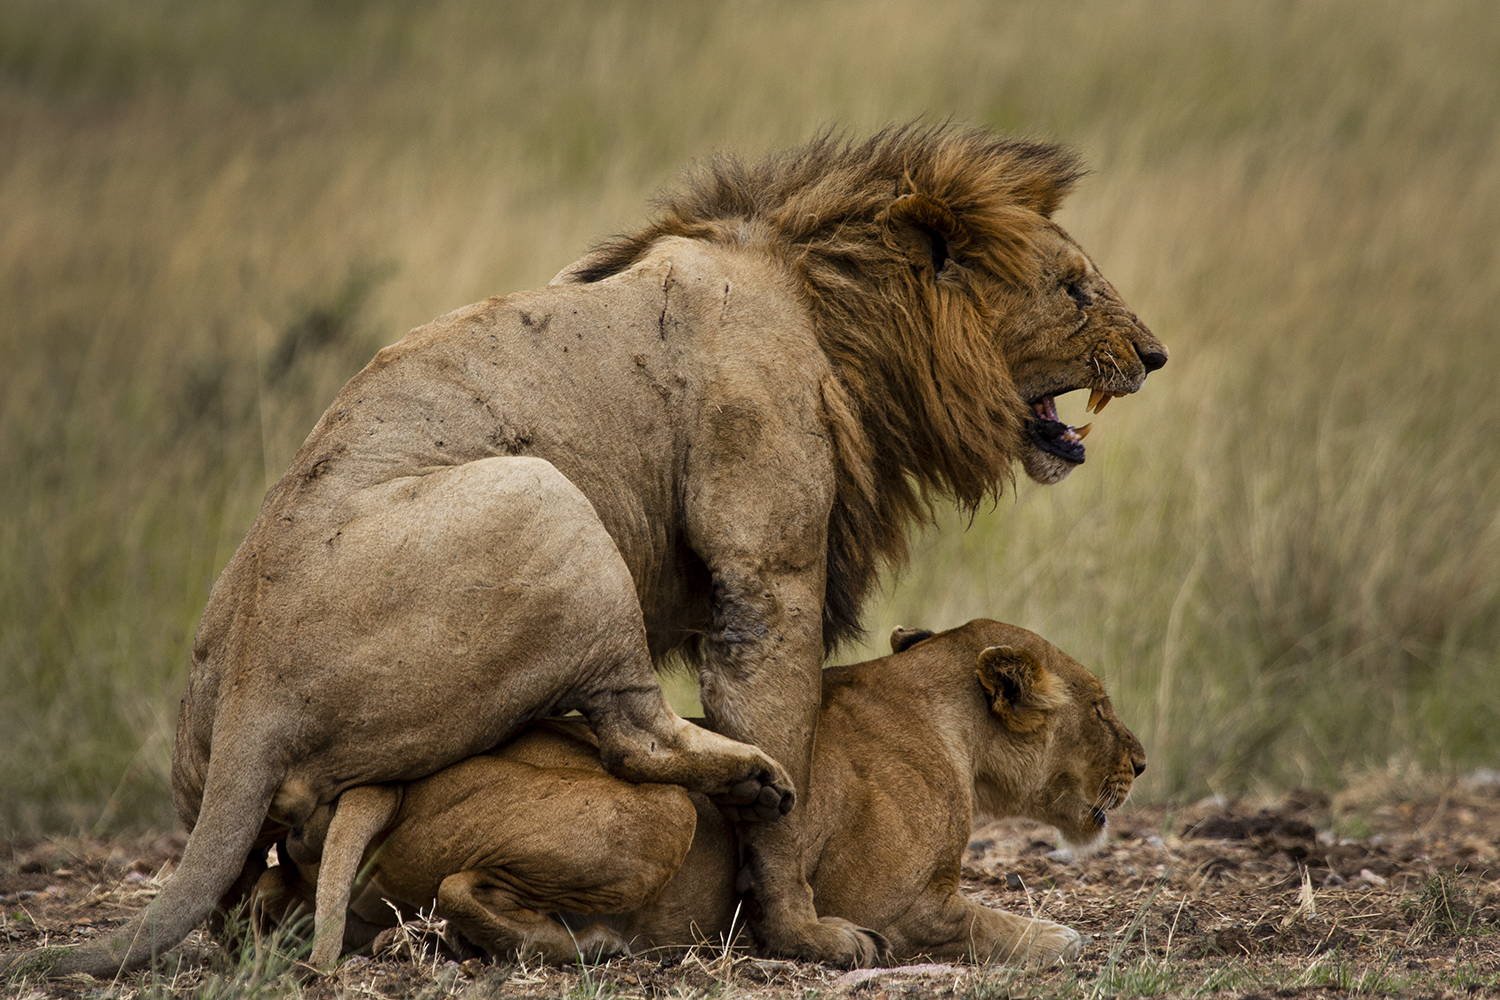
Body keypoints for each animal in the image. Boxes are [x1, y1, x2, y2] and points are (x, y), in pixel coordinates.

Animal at [258, 620, 1146, 965]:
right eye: (1102, 709)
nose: (1140, 761)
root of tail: (397, 784)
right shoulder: (897, 905)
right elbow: (995, 923)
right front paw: (1065, 938)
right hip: (664, 806)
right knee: (457, 890)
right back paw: (590, 944)